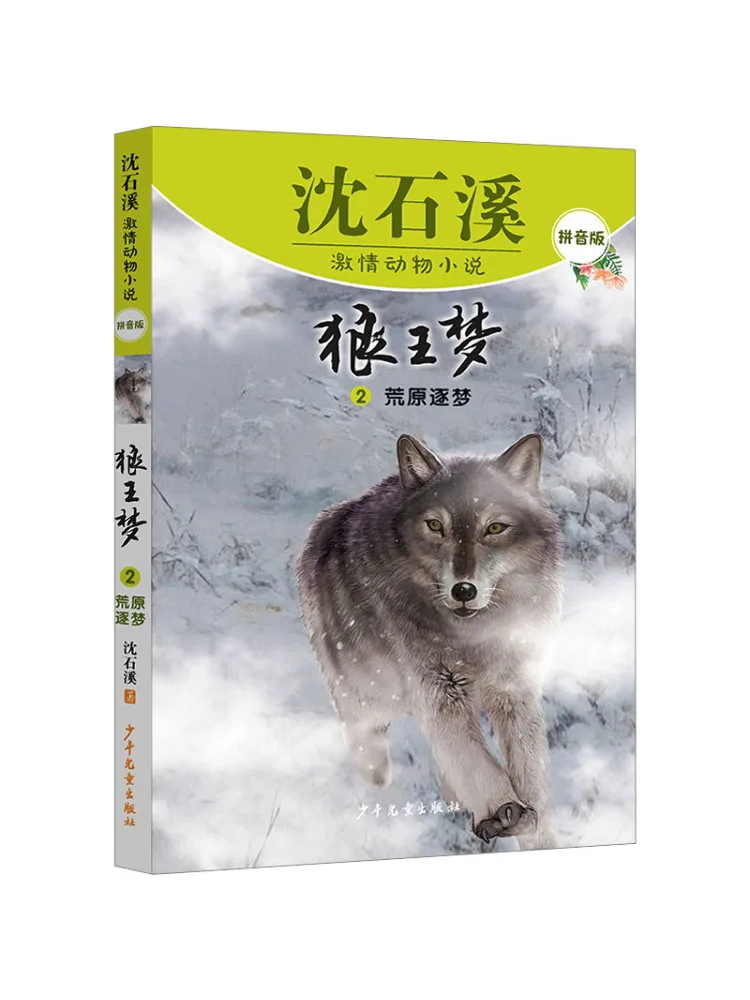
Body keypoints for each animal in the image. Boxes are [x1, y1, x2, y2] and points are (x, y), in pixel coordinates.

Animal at [298, 433, 563, 850]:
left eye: (495, 528)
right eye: (436, 525)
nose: (464, 590)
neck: (473, 637)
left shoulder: (513, 686)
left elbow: (530, 765)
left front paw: (535, 830)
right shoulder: (439, 690)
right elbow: (471, 756)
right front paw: (504, 809)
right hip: (364, 695)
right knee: (368, 743)